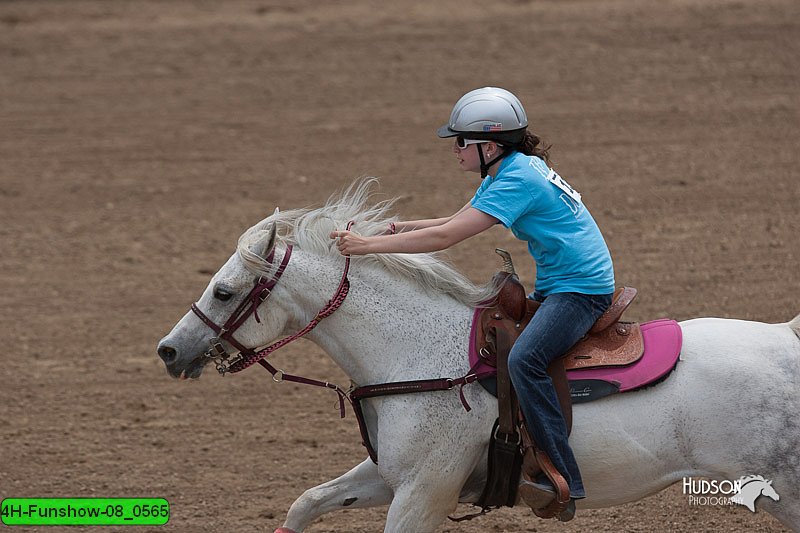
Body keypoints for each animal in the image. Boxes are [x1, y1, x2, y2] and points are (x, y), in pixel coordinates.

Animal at [156, 181, 800, 528]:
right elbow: (305, 504)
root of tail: (788, 337)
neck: (417, 355)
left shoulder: (423, 493)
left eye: (224, 291)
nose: (168, 350)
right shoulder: (392, 477)